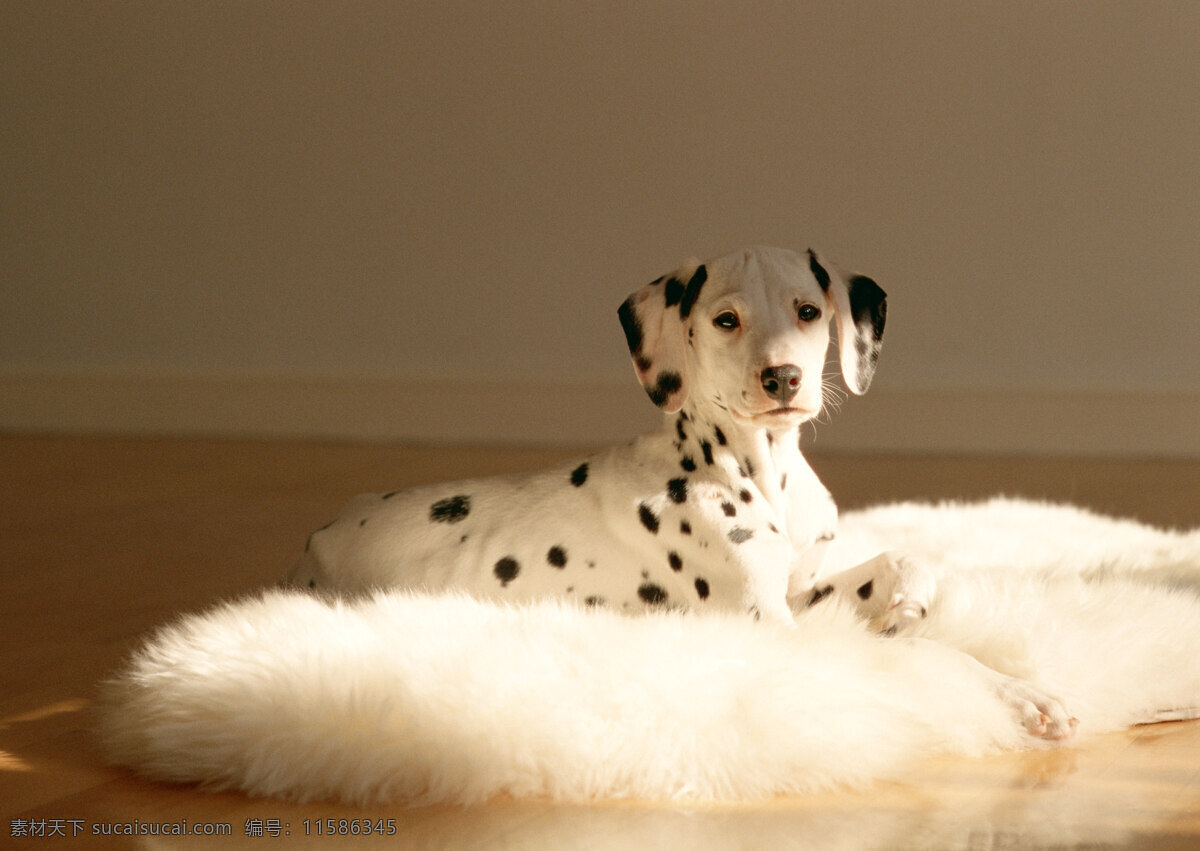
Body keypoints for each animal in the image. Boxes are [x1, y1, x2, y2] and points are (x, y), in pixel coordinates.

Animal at [288, 243, 1080, 734]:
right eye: (726, 319)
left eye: (808, 310)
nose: (783, 378)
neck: (755, 470)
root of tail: (315, 542)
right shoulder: (776, 632)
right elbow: (928, 659)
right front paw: (1022, 694)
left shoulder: (796, 593)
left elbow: (902, 562)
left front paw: (906, 601)